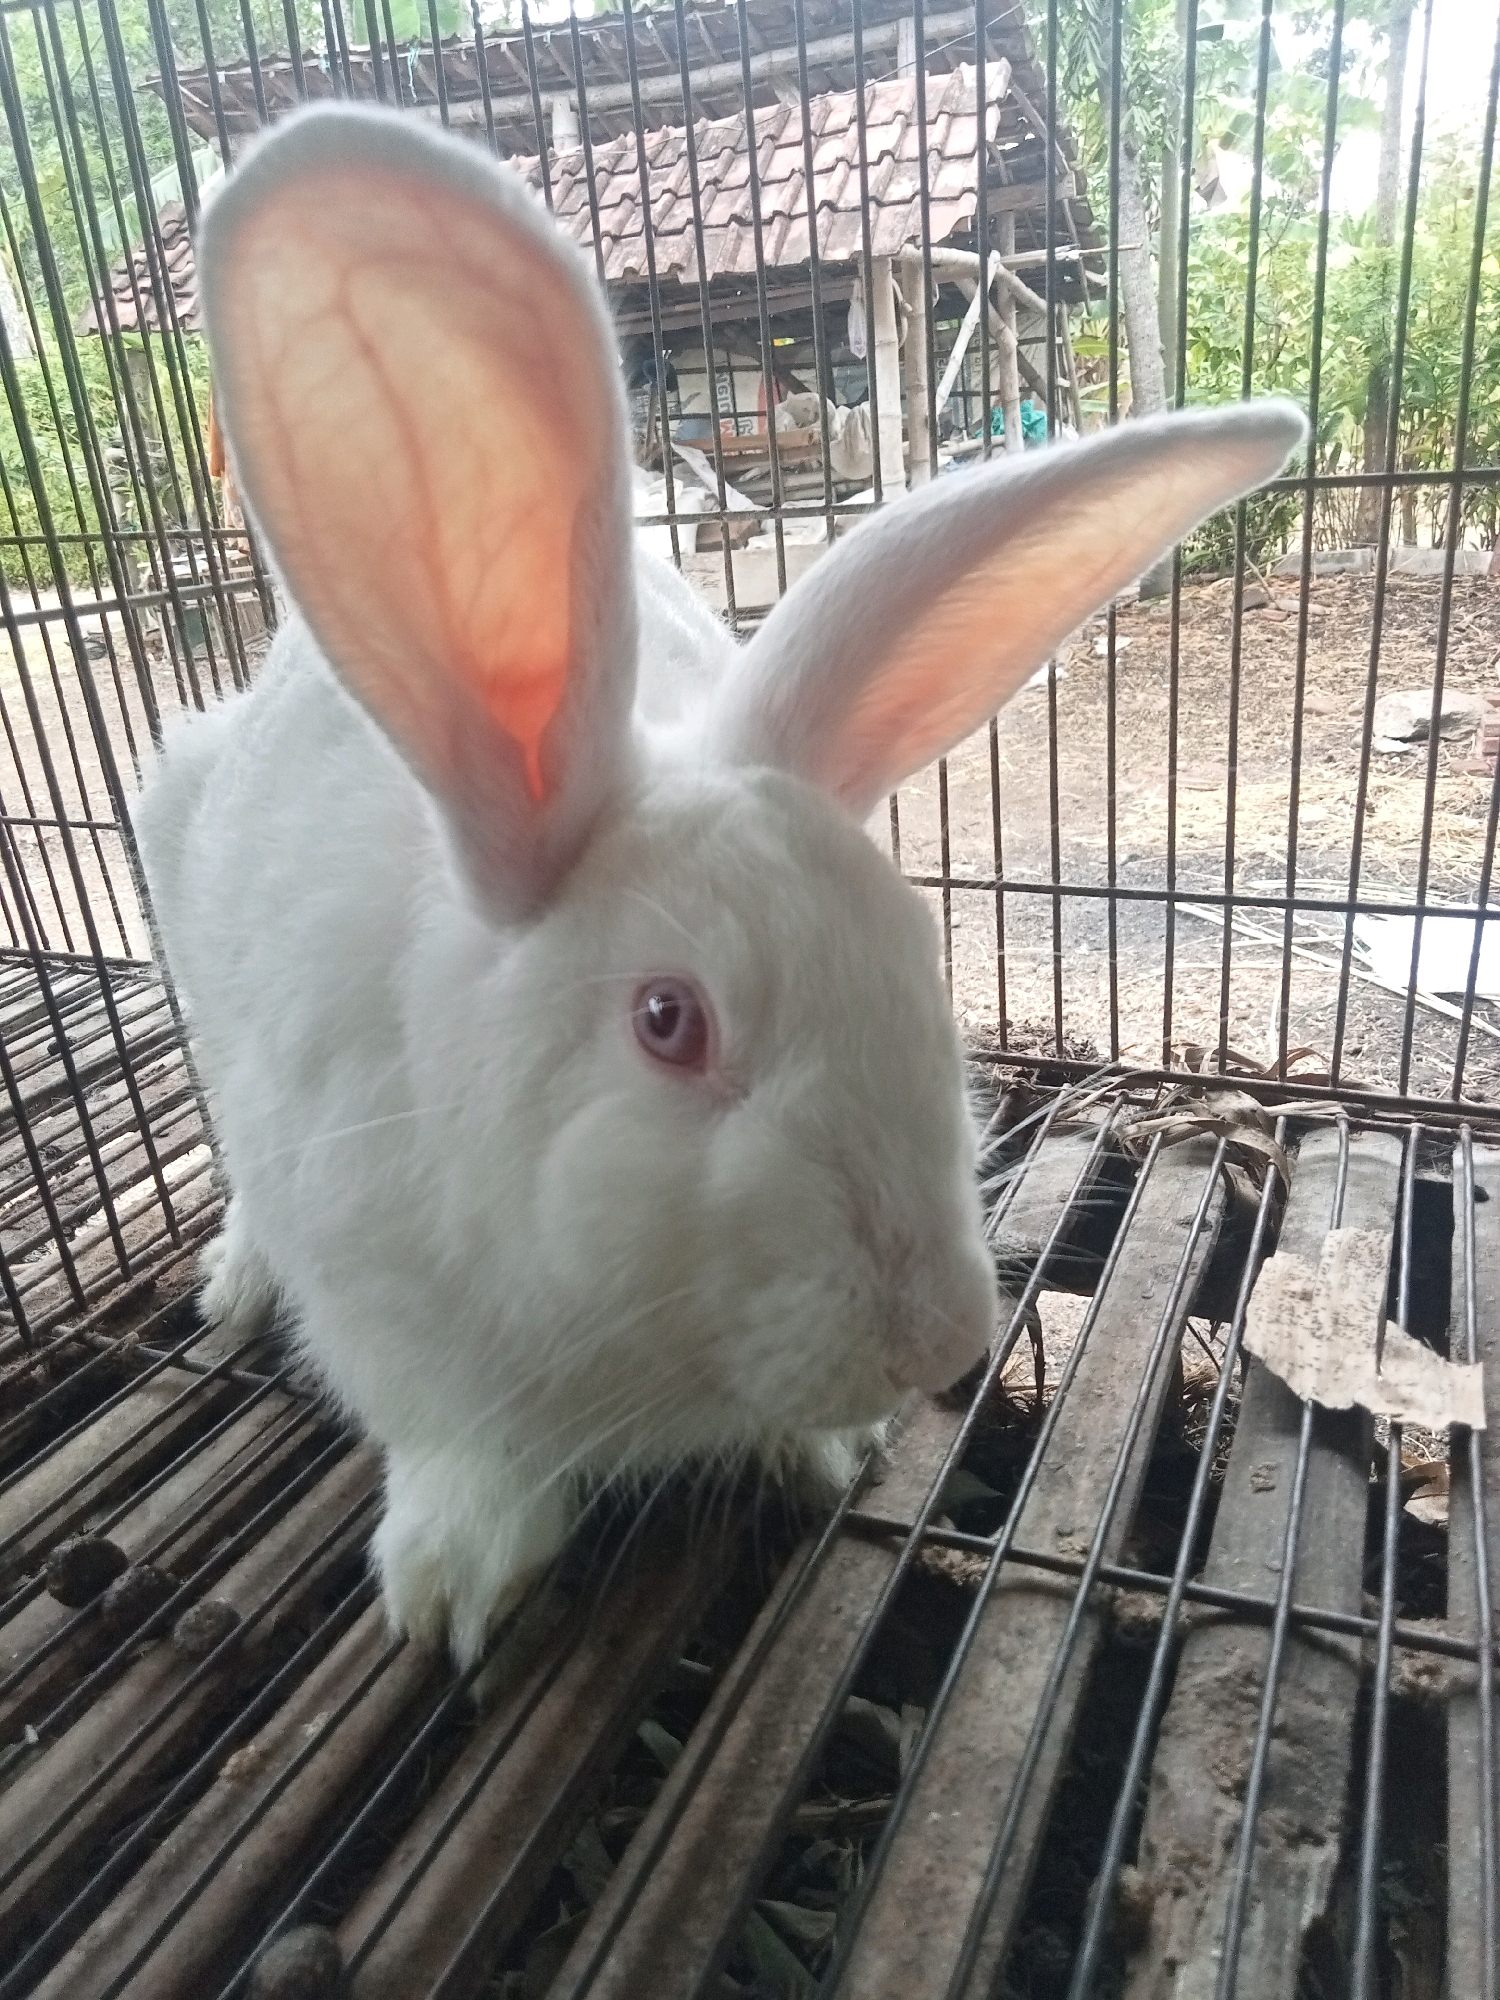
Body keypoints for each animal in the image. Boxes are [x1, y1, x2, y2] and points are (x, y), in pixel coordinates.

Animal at [132, 104, 1307, 1669]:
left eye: (920, 954)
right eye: (668, 1021)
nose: (938, 1341)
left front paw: (828, 1450)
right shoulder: (386, 1302)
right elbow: (455, 1446)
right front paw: (453, 1588)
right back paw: (233, 1280)